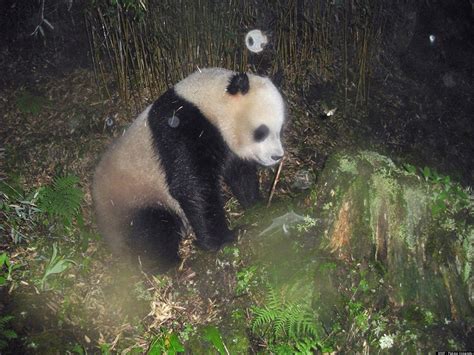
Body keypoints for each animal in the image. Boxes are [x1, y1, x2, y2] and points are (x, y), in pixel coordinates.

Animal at [92, 68, 286, 270]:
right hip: (135, 198)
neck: (209, 104)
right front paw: (224, 238)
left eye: (280, 129)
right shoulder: (181, 129)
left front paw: (258, 205)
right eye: (261, 132)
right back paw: (165, 263)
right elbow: (192, 185)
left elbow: (240, 173)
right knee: (152, 229)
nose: (277, 156)